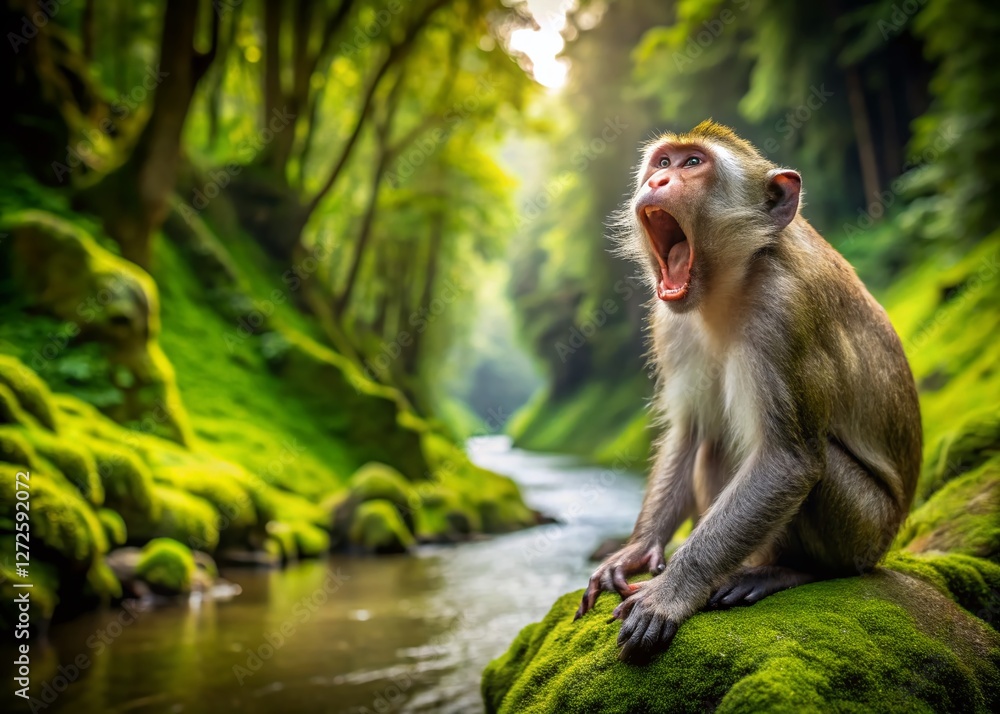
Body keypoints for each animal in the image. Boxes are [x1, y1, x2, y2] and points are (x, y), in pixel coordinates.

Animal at [573, 120, 922, 665]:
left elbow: (788, 462)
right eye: (663, 163)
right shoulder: (670, 322)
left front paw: (670, 594)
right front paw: (636, 550)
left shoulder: (785, 313)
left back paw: (785, 570)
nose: (656, 183)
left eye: (694, 164)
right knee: (713, 443)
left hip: (865, 532)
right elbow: (690, 430)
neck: (728, 284)